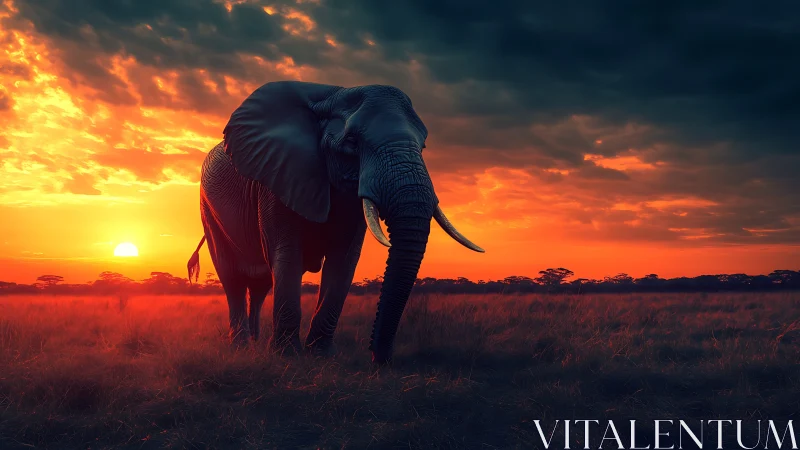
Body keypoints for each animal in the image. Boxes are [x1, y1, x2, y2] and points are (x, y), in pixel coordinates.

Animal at [186, 81, 483, 364]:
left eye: (423, 146)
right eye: (352, 142)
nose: (378, 359)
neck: (331, 96)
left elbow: (343, 261)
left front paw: (320, 355)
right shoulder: (277, 179)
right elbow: (287, 255)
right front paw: (287, 356)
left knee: (260, 285)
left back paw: (256, 342)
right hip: (208, 211)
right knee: (233, 278)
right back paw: (241, 346)